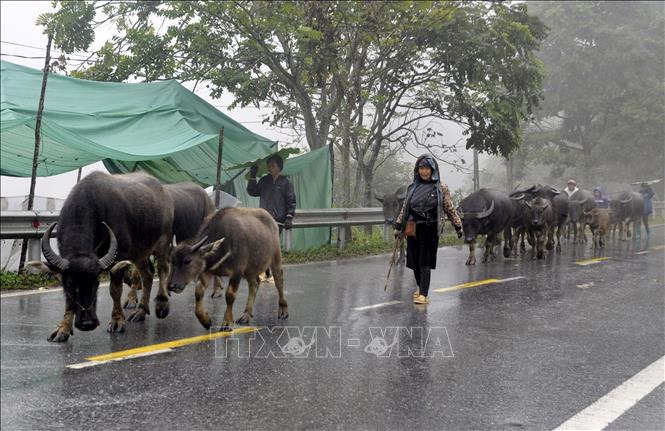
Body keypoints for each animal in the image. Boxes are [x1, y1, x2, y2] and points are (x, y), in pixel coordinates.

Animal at [32, 172, 174, 344]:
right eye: (71, 283)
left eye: (96, 282)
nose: (88, 323)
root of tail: (163, 191)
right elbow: (68, 299)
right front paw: (63, 329)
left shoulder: (119, 257)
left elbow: (115, 290)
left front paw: (117, 321)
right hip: (139, 252)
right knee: (147, 274)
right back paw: (140, 312)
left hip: (163, 241)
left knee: (163, 269)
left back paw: (162, 305)